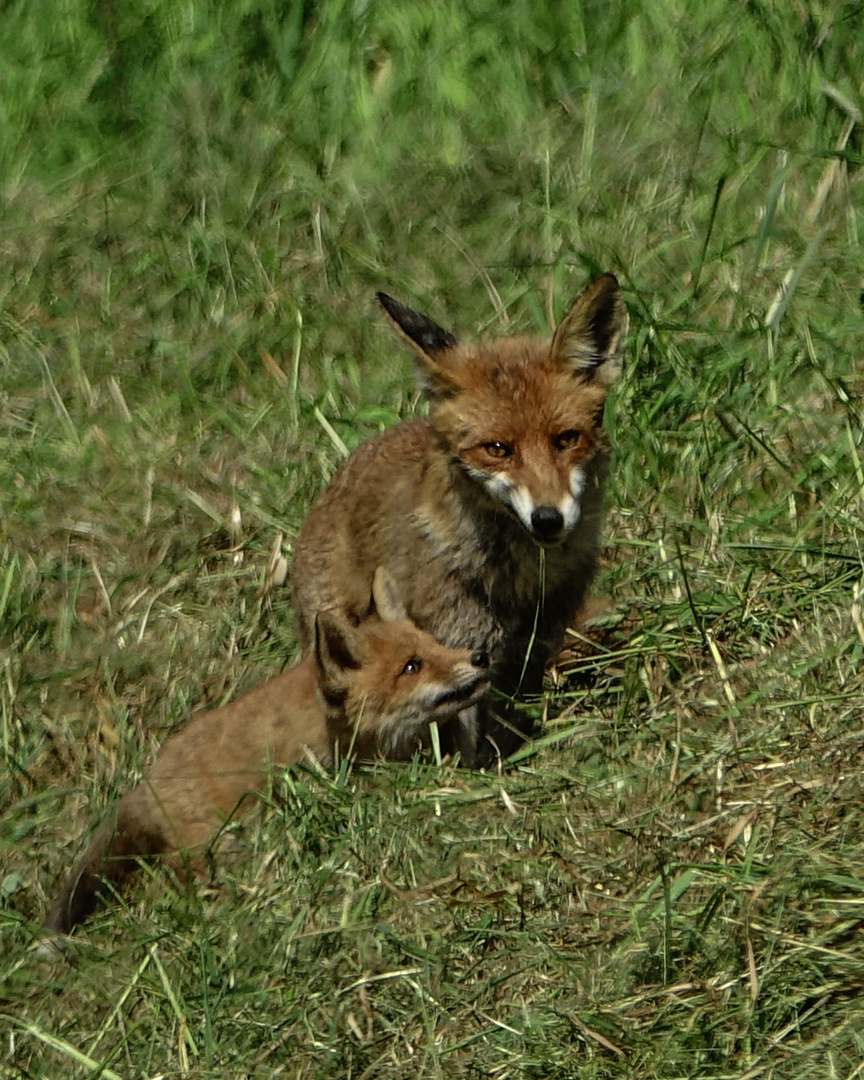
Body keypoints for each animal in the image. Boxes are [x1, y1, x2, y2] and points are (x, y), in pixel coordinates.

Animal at [47, 574, 490, 937]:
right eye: (411, 667)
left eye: (435, 644)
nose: (479, 657)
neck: (325, 729)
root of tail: (145, 785)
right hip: (211, 843)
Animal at [293, 278, 626, 768]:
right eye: (497, 448)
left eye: (567, 439)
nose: (548, 518)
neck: (520, 580)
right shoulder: (462, 644)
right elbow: (469, 735)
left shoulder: (538, 640)